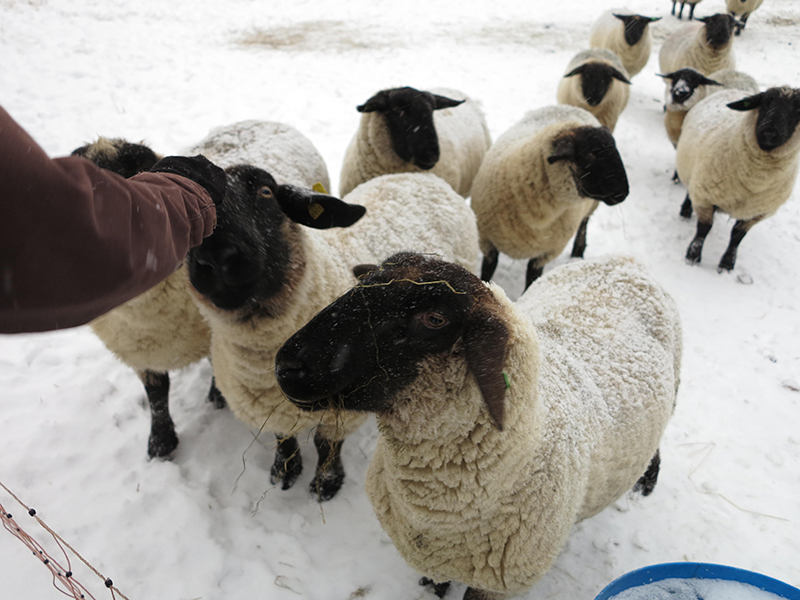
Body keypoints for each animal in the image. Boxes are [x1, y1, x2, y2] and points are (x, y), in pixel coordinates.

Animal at [186, 171, 479, 500]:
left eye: (266, 192)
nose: (217, 257)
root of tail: (421, 175)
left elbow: (326, 445)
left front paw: (326, 484)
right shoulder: (269, 408)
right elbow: (283, 438)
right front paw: (283, 472)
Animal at [275, 251, 682, 600]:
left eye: (434, 319)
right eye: (364, 282)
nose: (286, 366)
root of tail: (624, 259)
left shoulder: (496, 585)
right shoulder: (433, 558)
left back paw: (647, 480)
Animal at [470, 105, 629, 291]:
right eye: (590, 154)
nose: (624, 193)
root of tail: (572, 107)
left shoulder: (546, 253)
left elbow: (532, 279)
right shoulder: (487, 241)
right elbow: (488, 271)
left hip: (591, 205)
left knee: (584, 224)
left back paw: (578, 252)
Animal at [676, 86, 800, 272]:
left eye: (798, 110)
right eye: (764, 103)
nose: (769, 131)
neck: (754, 180)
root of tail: (733, 88)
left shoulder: (756, 213)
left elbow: (737, 237)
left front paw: (727, 264)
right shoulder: (705, 196)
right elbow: (703, 229)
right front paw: (693, 257)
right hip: (693, 173)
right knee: (689, 192)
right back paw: (685, 212)